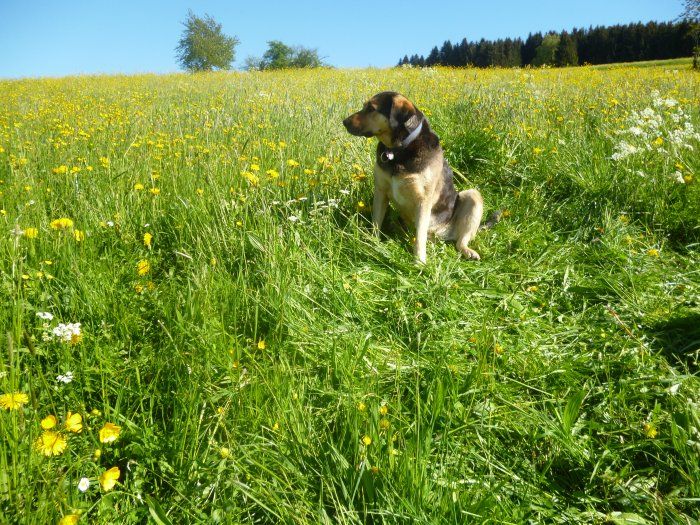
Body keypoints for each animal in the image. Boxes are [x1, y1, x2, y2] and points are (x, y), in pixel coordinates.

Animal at [344, 91, 486, 264]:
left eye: (371, 108)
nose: (344, 122)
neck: (398, 150)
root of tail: (440, 235)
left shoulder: (423, 200)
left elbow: (419, 236)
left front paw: (419, 262)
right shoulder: (380, 191)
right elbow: (376, 222)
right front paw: (373, 244)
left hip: (472, 195)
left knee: (460, 241)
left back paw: (468, 251)